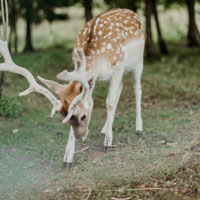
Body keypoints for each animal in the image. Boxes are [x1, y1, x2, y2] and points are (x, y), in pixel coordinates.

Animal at [0, 0, 145, 167]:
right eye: (66, 118)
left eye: (83, 116)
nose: (80, 137)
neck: (98, 57)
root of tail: (131, 12)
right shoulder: (91, 79)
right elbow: (94, 99)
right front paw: (68, 157)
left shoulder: (118, 65)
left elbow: (109, 102)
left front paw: (108, 143)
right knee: (120, 89)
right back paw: (104, 129)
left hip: (138, 61)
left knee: (137, 89)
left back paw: (138, 128)